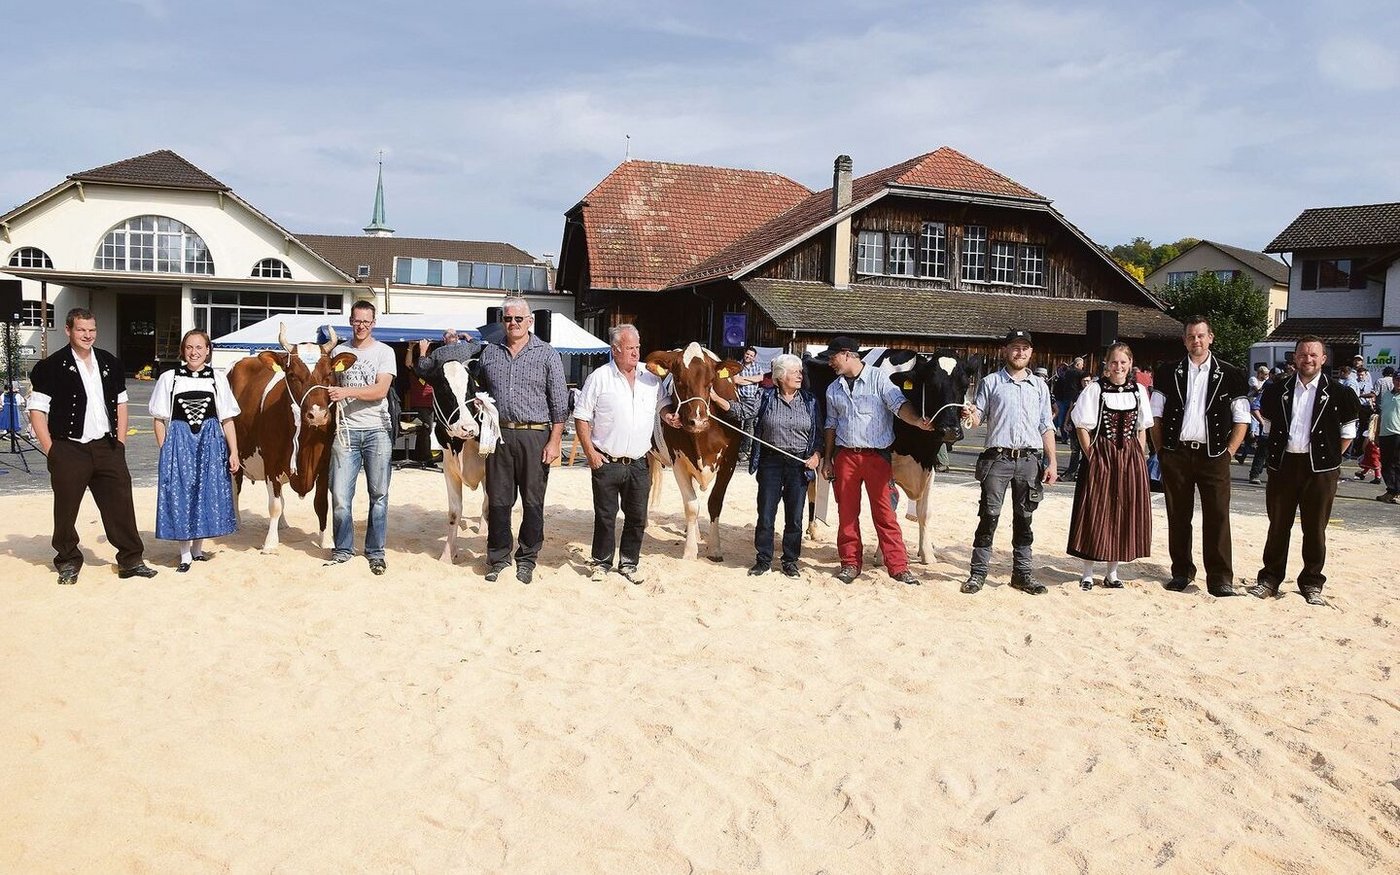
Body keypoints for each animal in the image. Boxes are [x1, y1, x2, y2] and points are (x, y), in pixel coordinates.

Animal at [228, 324, 356, 552]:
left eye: (329, 374)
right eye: (293, 374)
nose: (318, 415)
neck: (306, 442)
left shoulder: (324, 463)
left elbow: (321, 503)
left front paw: (326, 540)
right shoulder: (271, 463)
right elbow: (274, 505)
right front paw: (270, 543)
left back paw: (283, 524)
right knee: (236, 487)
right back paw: (237, 523)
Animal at [645, 342, 744, 561]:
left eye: (711, 381)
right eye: (678, 380)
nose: (697, 421)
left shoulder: (729, 462)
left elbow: (714, 503)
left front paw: (714, 549)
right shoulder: (678, 461)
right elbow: (691, 506)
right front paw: (690, 551)